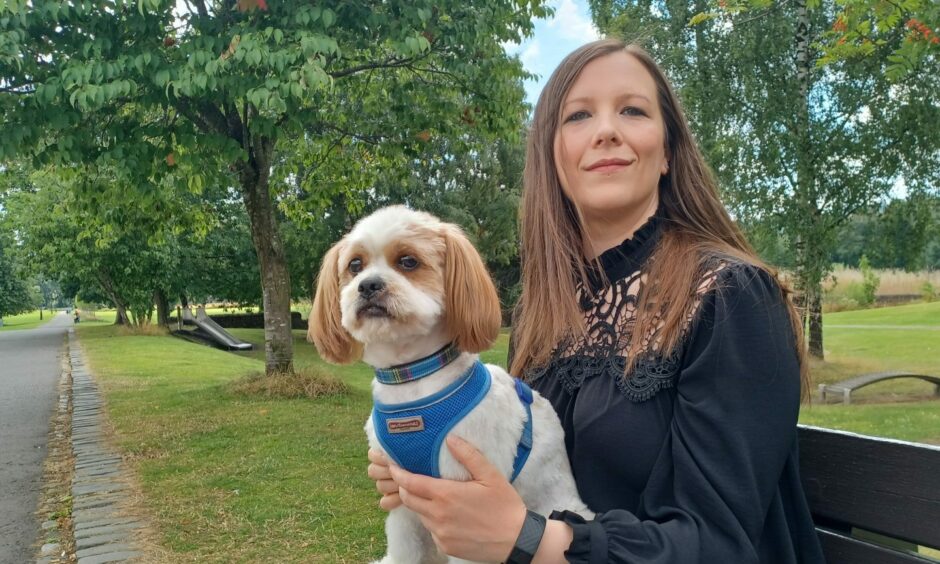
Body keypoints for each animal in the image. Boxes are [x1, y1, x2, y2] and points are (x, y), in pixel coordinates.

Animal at [308, 207, 588, 564]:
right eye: (355, 265)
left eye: (408, 261)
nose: (368, 285)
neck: (413, 378)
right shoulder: (401, 495)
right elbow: (403, 548)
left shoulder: (462, 505)